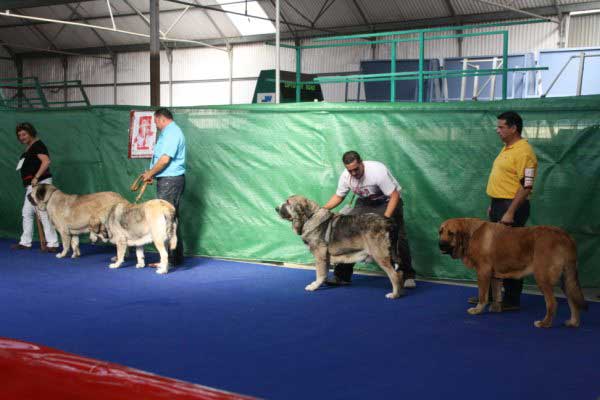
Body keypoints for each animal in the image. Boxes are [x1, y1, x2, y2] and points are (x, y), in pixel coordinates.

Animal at [276, 195, 404, 298]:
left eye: (288, 202)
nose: (276, 208)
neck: (309, 217)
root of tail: (388, 222)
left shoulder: (320, 257)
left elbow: (319, 274)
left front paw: (314, 286)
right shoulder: (325, 259)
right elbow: (324, 273)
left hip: (380, 256)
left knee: (394, 275)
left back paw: (394, 294)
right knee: (400, 273)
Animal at [438, 219, 588, 328]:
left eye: (451, 233)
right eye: (440, 232)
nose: (440, 245)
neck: (471, 234)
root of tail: (565, 236)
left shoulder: (483, 272)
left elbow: (483, 296)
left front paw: (477, 310)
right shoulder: (494, 276)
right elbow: (496, 294)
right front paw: (496, 308)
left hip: (542, 278)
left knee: (552, 303)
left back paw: (545, 323)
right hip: (566, 279)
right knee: (573, 301)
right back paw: (573, 322)